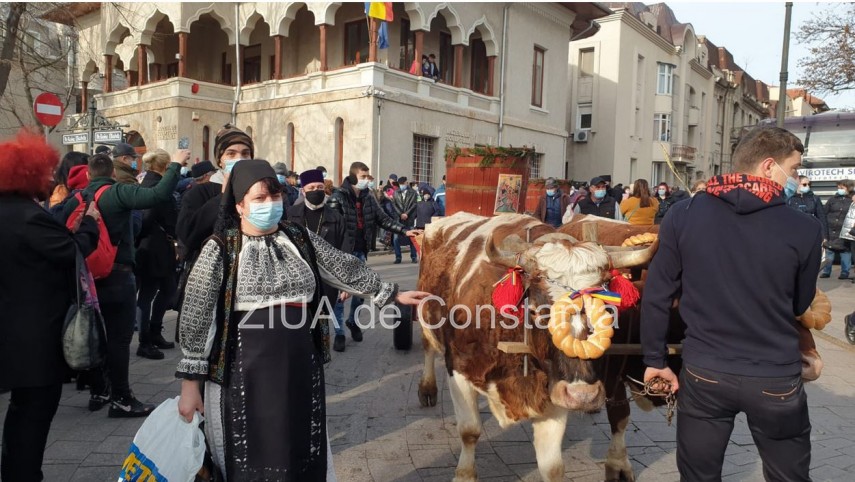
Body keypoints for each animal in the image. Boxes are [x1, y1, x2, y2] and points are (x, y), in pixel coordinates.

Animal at [415, 212, 657, 482]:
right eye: (536, 311)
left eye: (608, 311)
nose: (583, 395)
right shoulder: (458, 370)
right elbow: (469, 431)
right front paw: (464, 475)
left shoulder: (553, 390)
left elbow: (552, 467)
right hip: (425, 313)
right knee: (427, 346)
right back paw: (427, 389)